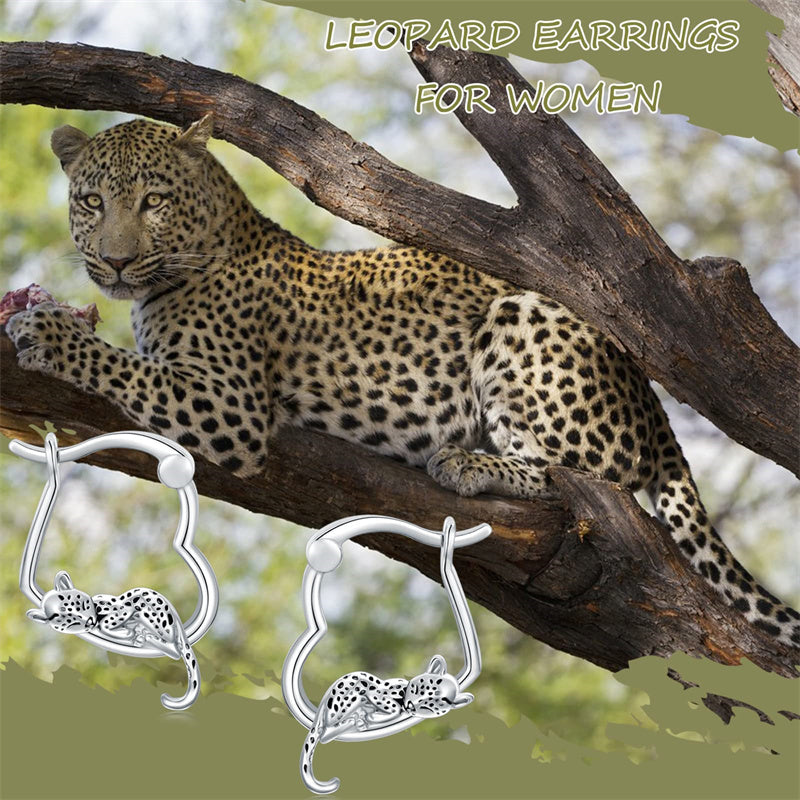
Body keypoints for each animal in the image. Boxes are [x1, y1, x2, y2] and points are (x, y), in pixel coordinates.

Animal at [4, 115, 798, 647]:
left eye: (153, 201)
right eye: (92, 202)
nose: (113, 262)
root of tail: (653, 403)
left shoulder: (228, 404)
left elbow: (121, 364)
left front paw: (45, 331)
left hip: (521, 315)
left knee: (586, 481)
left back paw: (467, 462)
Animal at [26, 570, 201, 710]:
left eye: (81, 604)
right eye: (71, 622)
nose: (89, 621)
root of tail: (176, 620)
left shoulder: (123, 608)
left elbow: (111, 621)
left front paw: (126, 630)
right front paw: (126, 631)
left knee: (174, 649)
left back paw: (145, 634)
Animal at [300, 655, 472, 793]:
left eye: (427, 706)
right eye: (417, 689)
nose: (410, 705)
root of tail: (324, 705)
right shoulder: (378, 692)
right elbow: (387, 703)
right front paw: (373, 712)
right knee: (326, 731)